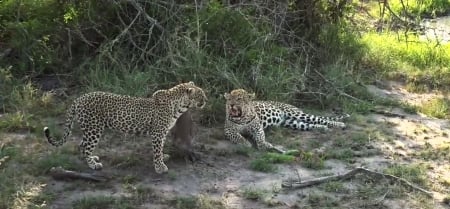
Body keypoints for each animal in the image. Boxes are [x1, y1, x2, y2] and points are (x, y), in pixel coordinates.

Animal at [44, 81, 207, 173]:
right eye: (200, 95)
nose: (206, 100)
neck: (179, 106)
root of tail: (79, 99)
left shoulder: (162, 132)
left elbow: (159, 148)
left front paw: (162, 158)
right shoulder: (157, 132)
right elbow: (157, 149)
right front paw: (160, 167)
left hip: (90, 128)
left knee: (81, 145)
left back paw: (91, 158)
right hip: (94, 128)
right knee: (85, 147)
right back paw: (93, 165)